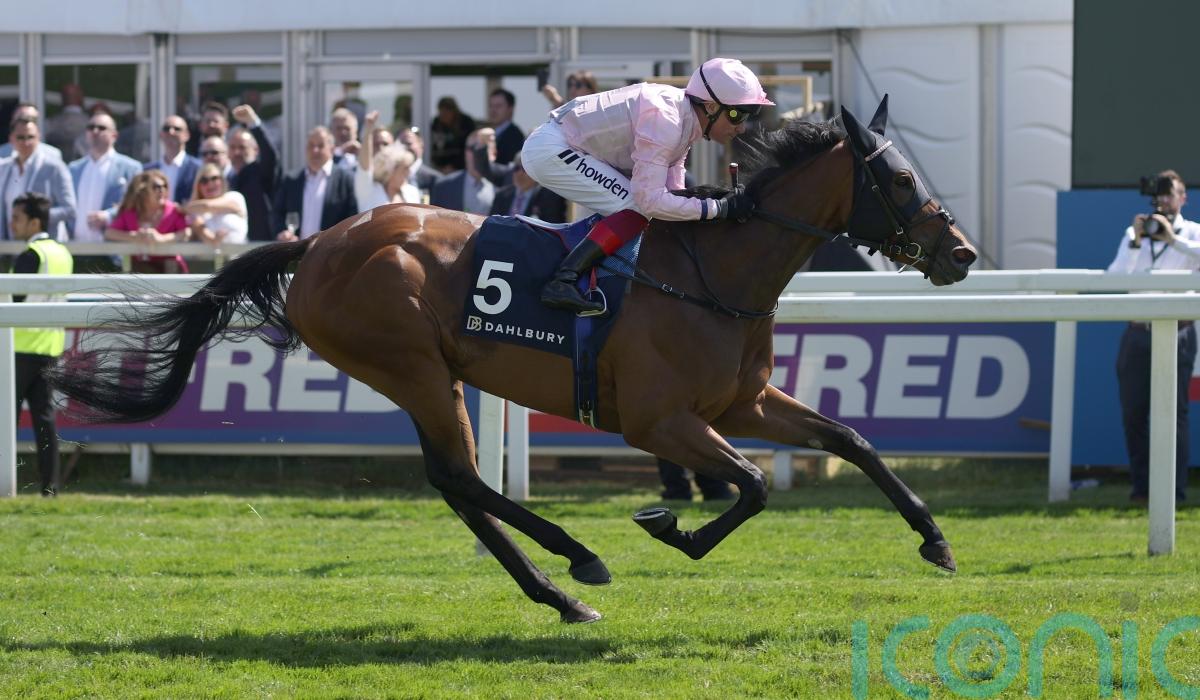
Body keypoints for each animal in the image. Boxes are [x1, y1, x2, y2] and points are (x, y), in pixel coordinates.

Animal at [47, 97, 977, 624]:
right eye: (898, 180)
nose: (961, 252)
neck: (715, 272)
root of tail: (318, 241)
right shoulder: (660, 421)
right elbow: (748, 485)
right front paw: (669, 528)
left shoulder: (738, 404)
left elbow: (851, 440)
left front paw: (936, 541)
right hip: (414, 366)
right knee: (460, 478)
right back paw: (576, 563)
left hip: (423, 373)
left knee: (456, 484)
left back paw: (561, 591)